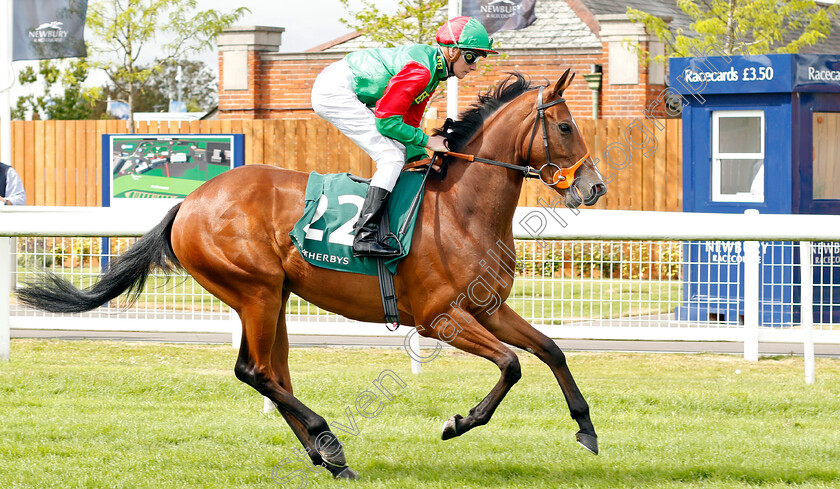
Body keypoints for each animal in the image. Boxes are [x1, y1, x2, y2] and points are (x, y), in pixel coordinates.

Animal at [19, 70, 608, 478]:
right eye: (565, 126)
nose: (594, 187)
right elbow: (512, 364)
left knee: (273, 374)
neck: (461, 210)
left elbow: (550, 350)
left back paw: (328, 457)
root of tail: (189, 202)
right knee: (255, 372)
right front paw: (456, 422)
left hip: (273, 296)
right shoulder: (439, 319)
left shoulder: (488, 307)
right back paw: (329, 441)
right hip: (255, 291)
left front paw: (587, 429)